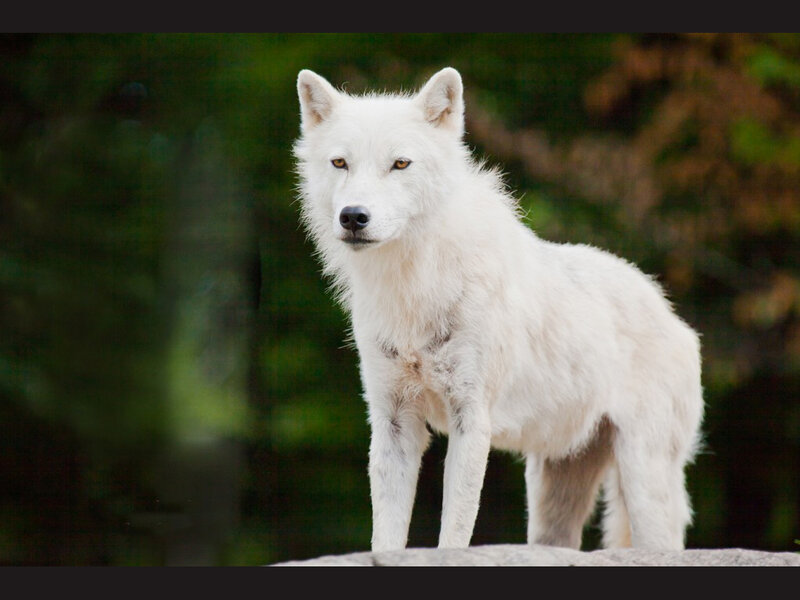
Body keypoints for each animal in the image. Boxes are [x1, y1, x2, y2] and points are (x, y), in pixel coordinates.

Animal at [293, 67, 704, 552]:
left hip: (644, 487)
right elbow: (386, 538)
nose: (354, 217)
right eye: (340, 163)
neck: (415, 285)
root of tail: (672, 315)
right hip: (553, 496)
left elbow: (454, 534)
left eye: (400, 164)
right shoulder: (393, 422)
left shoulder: (471, 421)